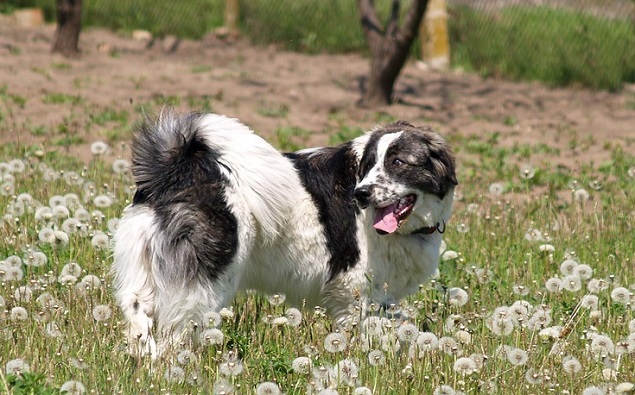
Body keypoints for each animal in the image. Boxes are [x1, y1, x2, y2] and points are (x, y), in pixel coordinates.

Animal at [113, 110, 458, 358]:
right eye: (369, 164)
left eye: (398, 162)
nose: (360, 193)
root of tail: (177, 168)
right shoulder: (357, 292)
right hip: (204, 286)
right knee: (175, 338)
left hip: (145, 274)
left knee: (138, 315)